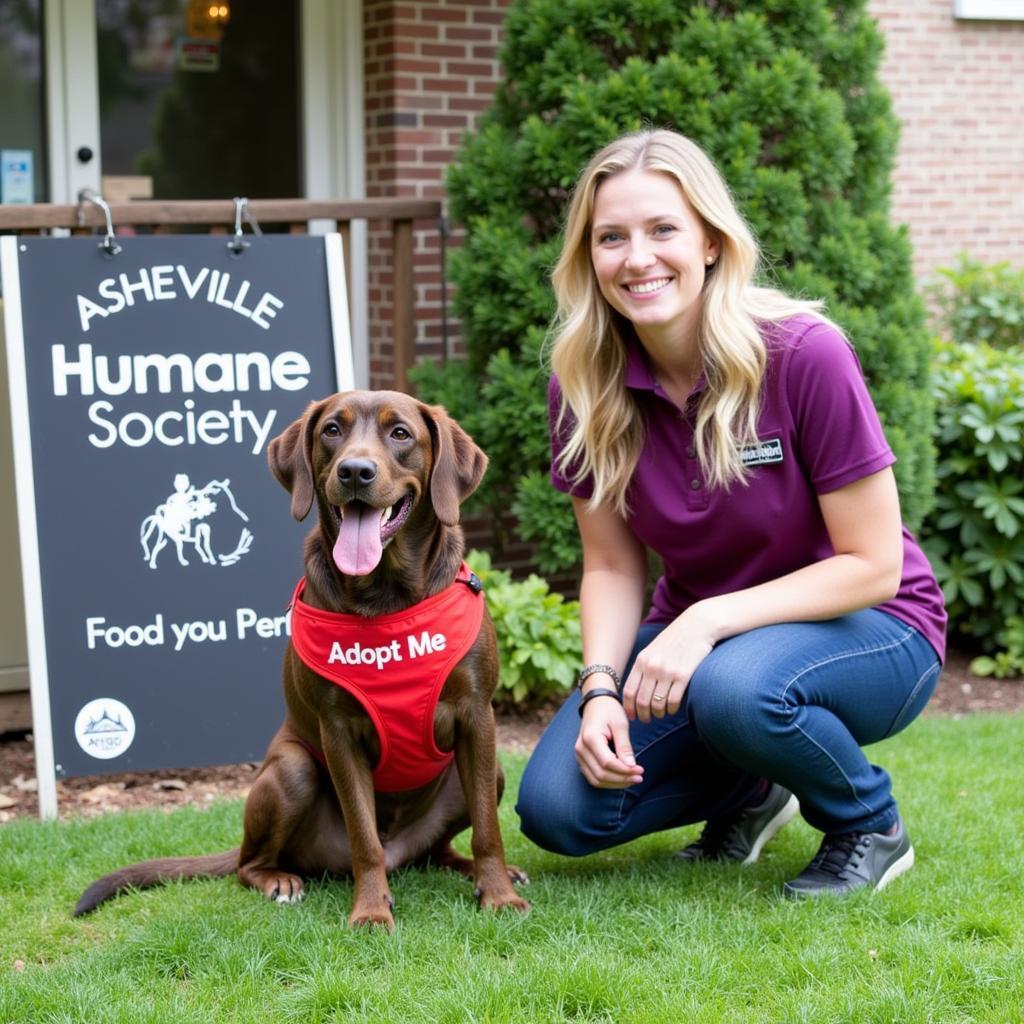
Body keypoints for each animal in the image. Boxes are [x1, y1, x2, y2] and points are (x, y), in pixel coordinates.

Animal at [74, 389, 528, 929]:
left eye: (400, 434)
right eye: (332, 429)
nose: (355, 471)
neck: (387, 597)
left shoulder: (477, 716)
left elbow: (488, 829)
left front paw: (498, 894)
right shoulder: (338, 731)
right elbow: (363, 836)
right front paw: (371, 911)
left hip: (487, 774)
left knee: (440, 848)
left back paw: (469, 870)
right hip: (292, 770)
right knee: (251, 863)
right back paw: (279, 881)